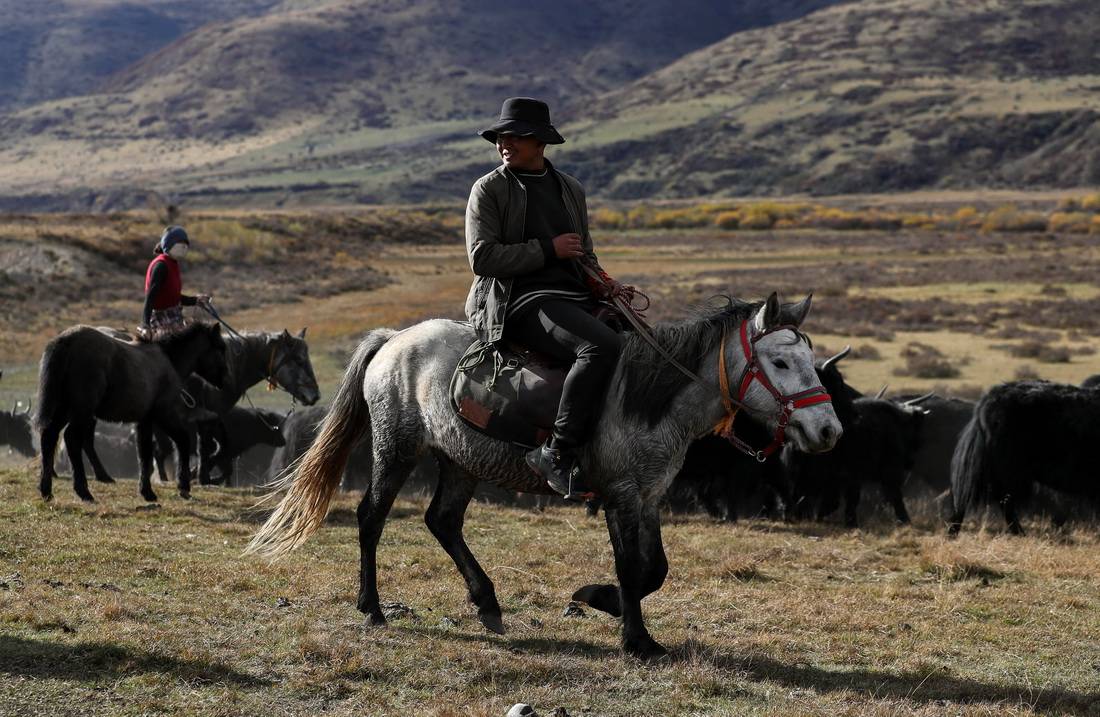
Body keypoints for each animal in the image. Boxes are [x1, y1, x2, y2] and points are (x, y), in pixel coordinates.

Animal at [37, 321, 227, 501]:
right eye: (220, 348)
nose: (225, 380)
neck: (167, 360)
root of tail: (66, 341)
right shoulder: (164, 414)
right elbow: (181, 441)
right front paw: (183, 486)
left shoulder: (145, 420)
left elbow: (144, 452)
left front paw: (147, 491)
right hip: (81, 410)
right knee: (72, 438)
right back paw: (84, 491)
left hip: (64, 408)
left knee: (49, 435)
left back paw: (46, 490)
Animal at [245, 294, 836, 659]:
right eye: (781, 363)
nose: (828, 429)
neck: (653, 398)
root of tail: (394, 340)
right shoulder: (621, 495)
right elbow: (631, 569)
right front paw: (634, 637)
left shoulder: (648, 497)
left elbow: (655, 570)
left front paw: (601, 602)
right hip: (397, 448)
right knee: (372, 517)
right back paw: (371, 608)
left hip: (461, 459)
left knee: (443, 521)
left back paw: (487, 603)